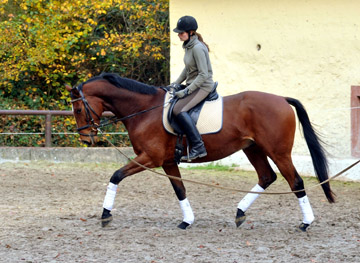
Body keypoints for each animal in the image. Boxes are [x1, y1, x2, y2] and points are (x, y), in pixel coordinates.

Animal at [64, 73, 334, 232]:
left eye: (77, 109)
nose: (86, 139)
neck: (144, 109)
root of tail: (281, 99)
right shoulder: (167, 162)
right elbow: (180, 190)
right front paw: (187, 221)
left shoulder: (149, 159)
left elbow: (116, 176)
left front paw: (105, 215)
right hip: (253, 149)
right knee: (267, 177)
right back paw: (239, 214)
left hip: (278, 152)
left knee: (295, 182)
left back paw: (306, 223)